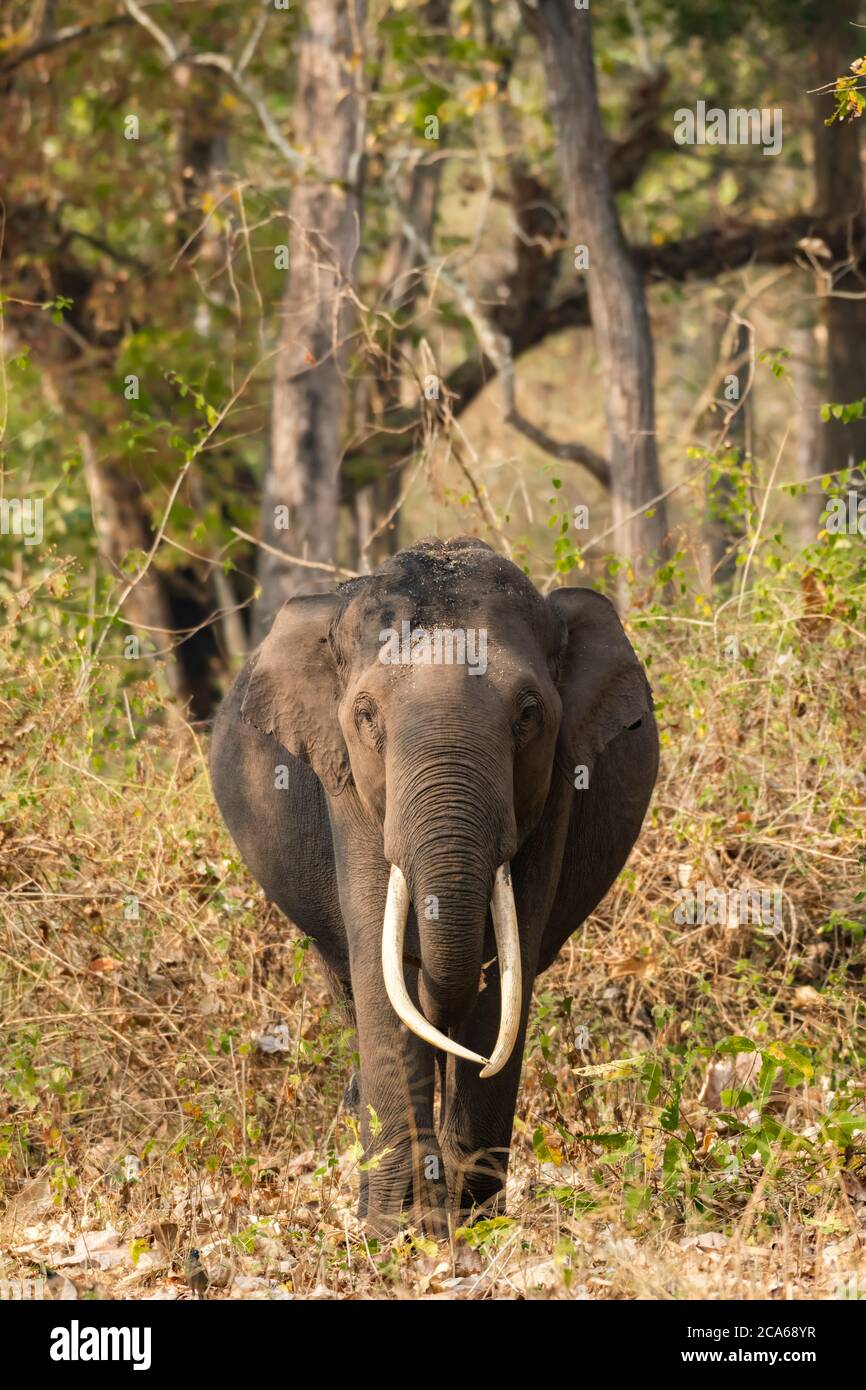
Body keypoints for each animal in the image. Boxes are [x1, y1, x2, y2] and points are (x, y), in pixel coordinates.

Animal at [211, 539, 656, 1239]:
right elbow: (380, 968)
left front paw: (471, 1226)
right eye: (365, 714)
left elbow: (507, 971)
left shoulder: (555, 786)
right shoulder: (347, 785)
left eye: (529, 712)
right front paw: (397, 1233)